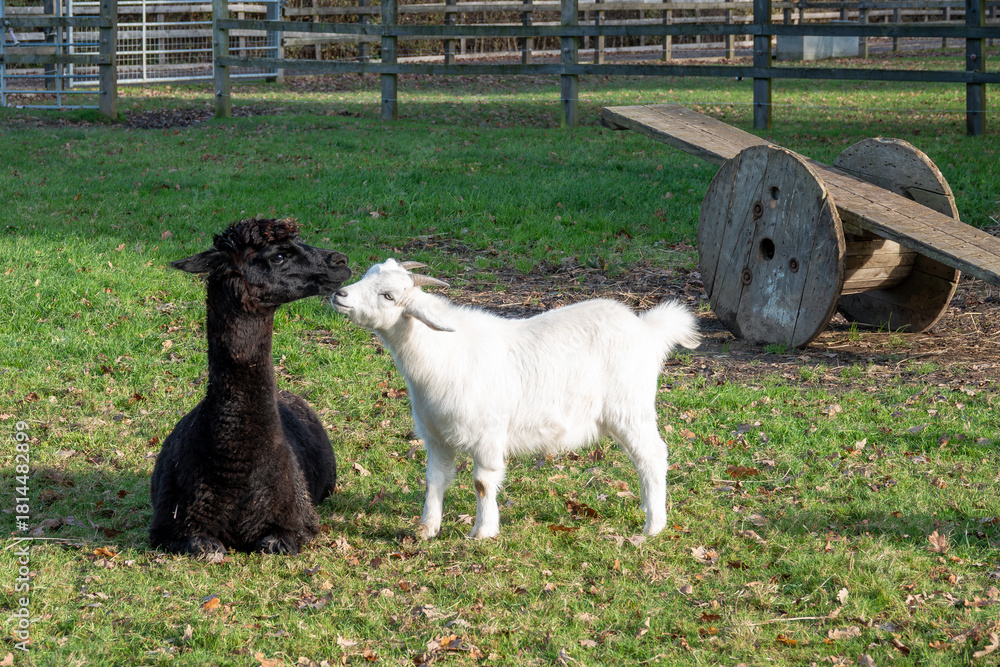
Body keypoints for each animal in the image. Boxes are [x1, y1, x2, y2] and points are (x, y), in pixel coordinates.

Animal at [149, 218, 351, 557]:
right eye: (278, 256)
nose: (341, 261)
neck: (235, 464)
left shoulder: (297, 522)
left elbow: (274, 542)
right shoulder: (169, 526)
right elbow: (203, 545)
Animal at [330, 259, 700, 539]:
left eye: (388, 295)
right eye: (368, 274)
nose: (339, 294)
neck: (444, 354)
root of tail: (648, 330)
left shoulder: (487, 436)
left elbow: (482, 483)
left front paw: (483, 532)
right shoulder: (437, 437)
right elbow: (435, 479)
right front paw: (427, 529)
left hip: (630, 408)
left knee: (652, 455)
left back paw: (653, 525)